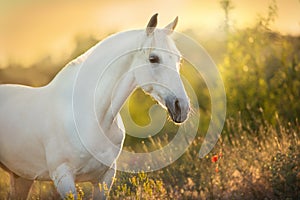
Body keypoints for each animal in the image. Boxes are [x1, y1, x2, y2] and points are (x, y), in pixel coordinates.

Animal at [0, 13, 190, 198]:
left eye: (178, 59)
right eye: (153, 58)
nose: (182, 107)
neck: (93, 117)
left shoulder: (105, 177)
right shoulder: (63, 177)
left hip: (22, 177)